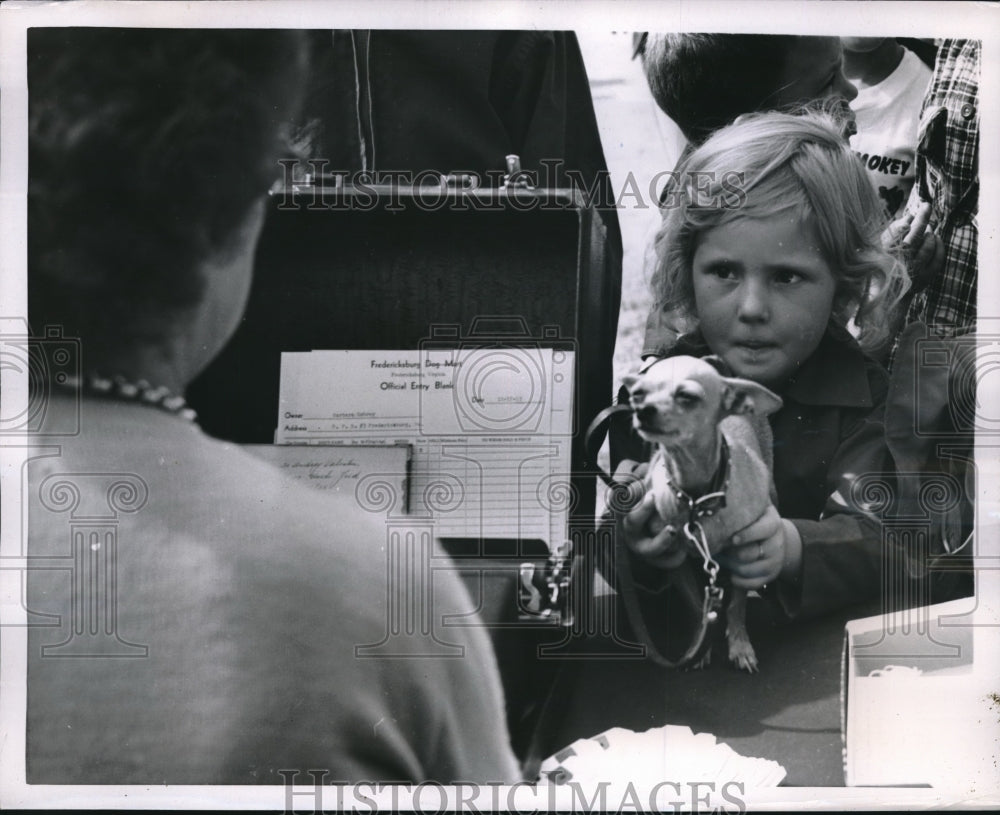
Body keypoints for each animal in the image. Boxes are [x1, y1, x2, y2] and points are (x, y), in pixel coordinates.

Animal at [620, 356, 784, 668]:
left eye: (687, 397)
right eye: (638, 395)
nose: (643, 411)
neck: (697, 500)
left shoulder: (745, 557)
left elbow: (737, 605)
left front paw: (740, 644)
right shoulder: (675, 561)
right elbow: (698, 608)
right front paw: (701, 646)